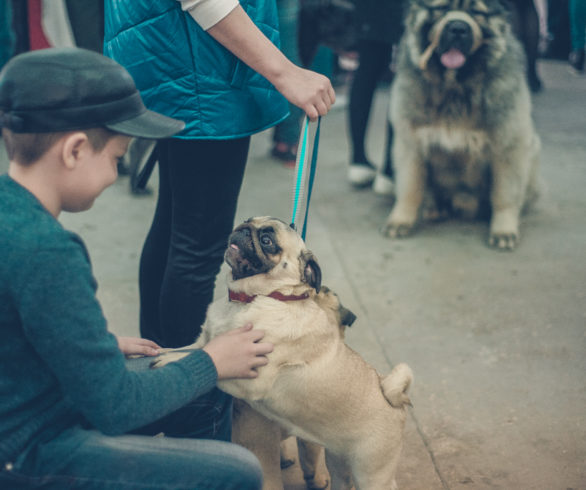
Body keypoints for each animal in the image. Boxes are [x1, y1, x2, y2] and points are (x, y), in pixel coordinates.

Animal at [153, 218, 412, 490]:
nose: (244, 228)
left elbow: (215, 364)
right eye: (247, 220)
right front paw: (159, 352)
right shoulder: (205, 341)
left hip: (371, 473)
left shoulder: (253, 378)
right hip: (338, 460)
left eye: (267, 241)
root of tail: (395, 400)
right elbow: (194, 350)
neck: (254, 298)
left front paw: (168, 360)